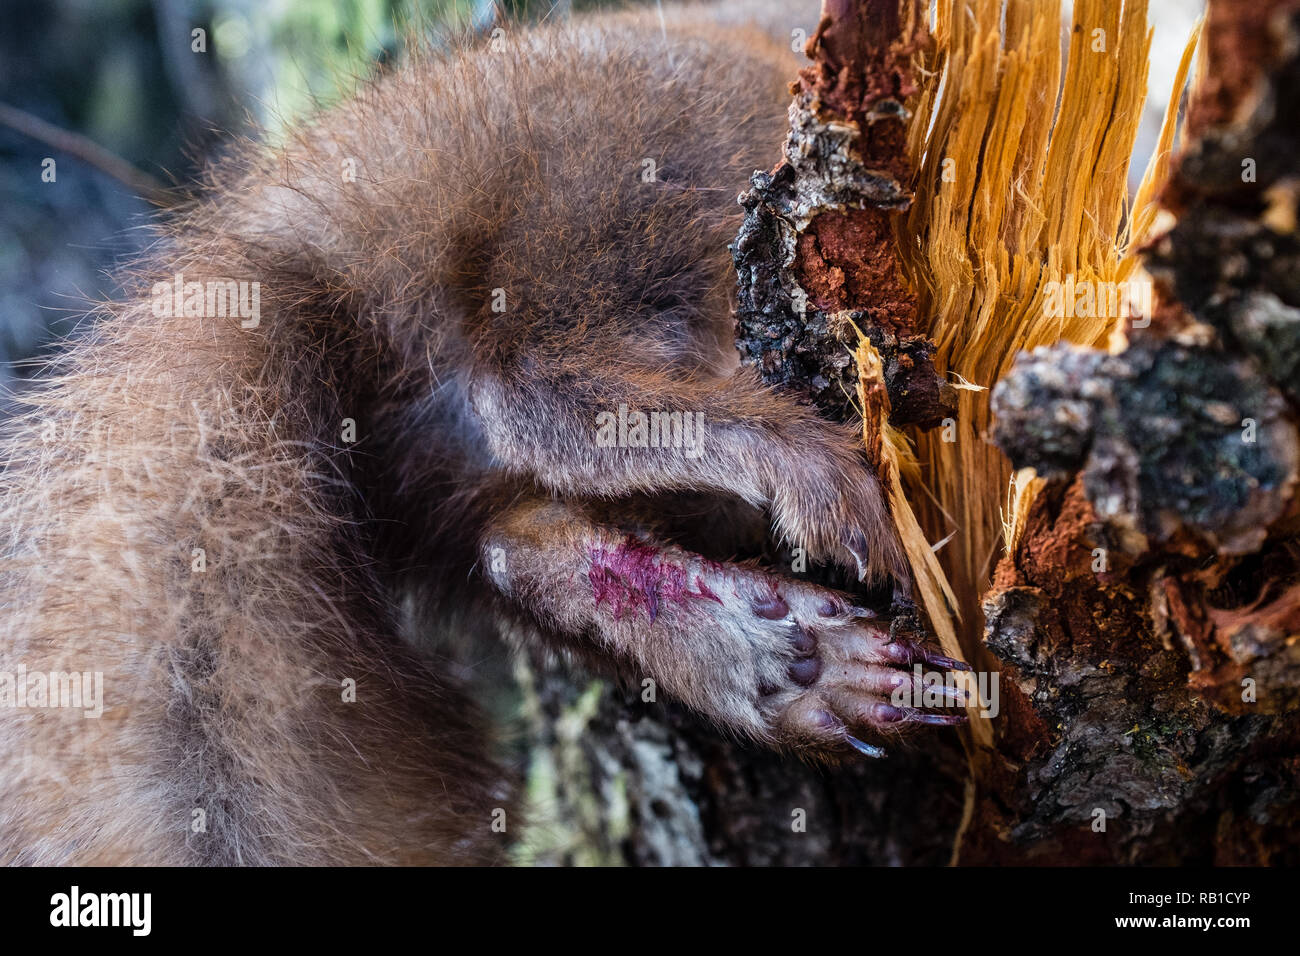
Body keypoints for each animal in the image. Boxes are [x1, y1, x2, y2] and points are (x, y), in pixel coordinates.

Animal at [0, 0, 967, 868]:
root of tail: (296, 242)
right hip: (638, 166)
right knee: (531, 382)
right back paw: (804, 492)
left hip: (444, 483)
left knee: (512, 544)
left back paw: (781, 655)